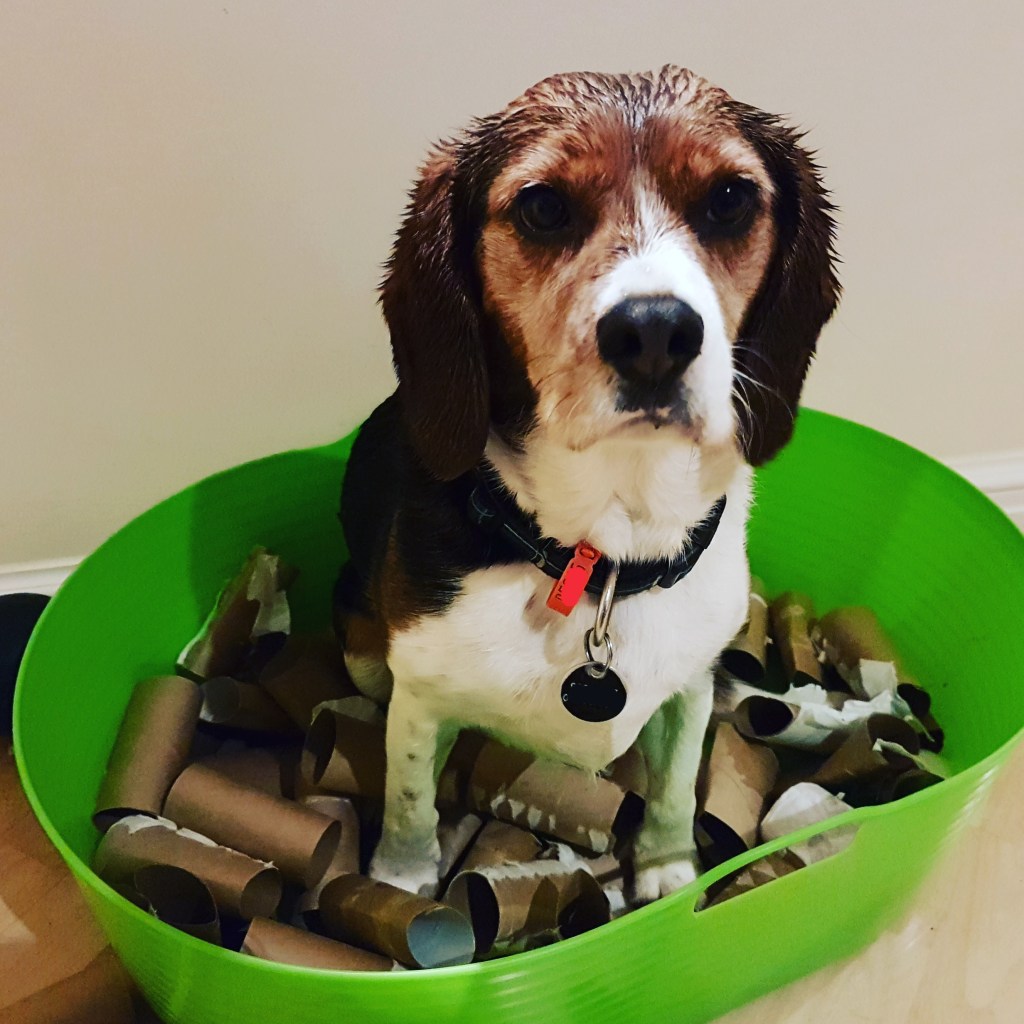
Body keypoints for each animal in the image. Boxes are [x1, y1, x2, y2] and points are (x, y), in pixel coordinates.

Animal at [334, 66, 839, 903]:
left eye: (729, 199)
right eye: (542, 207)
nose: (655, 331)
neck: (606, 550)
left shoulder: (688, 688)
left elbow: (673, 791)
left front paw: (668, 874)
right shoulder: (419, 697)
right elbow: (410, 802)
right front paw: (399, 884)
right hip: (364, 654)